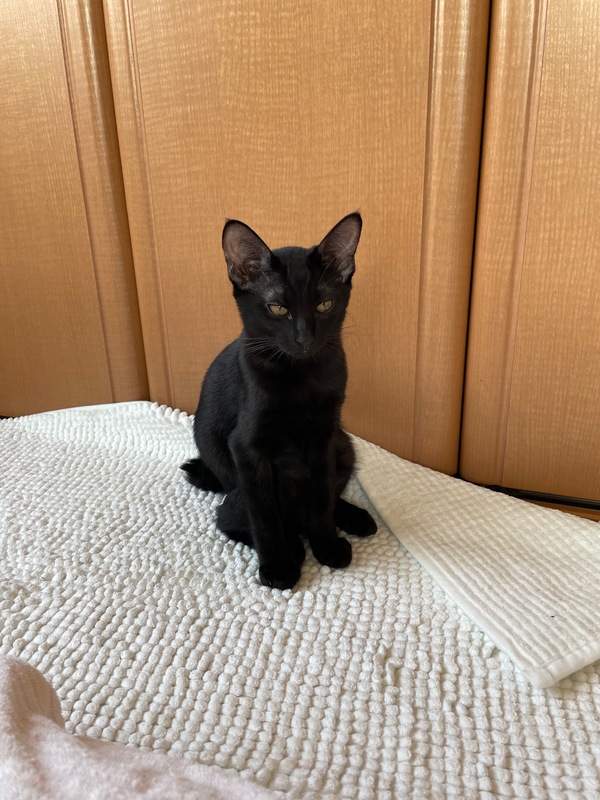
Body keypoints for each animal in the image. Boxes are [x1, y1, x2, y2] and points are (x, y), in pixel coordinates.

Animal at [182, 212, 377, 589]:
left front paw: (326, 545)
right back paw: (293, 547)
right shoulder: (246, 447)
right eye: (277, 308)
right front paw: (279, 564)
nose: (305, 339)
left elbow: (322, 496)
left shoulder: (323, 437)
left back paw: (354, 518)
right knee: (230, 517)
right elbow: (264, 513)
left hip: (343, 444)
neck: (300, 377)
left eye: (324, 304)